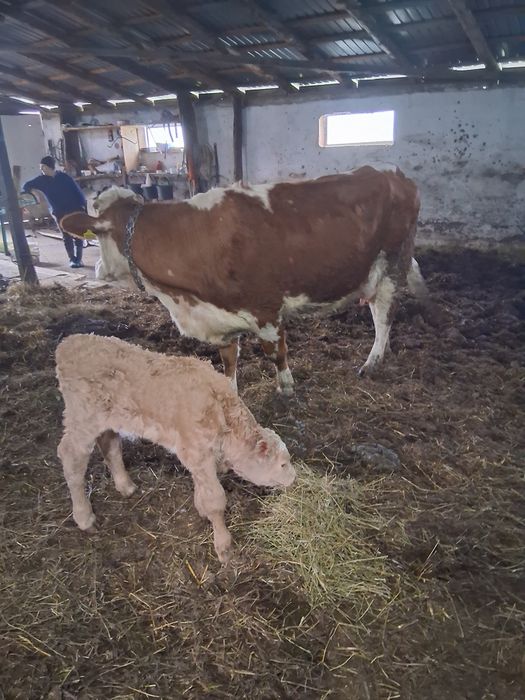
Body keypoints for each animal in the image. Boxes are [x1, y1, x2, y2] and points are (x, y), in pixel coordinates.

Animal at [56, 334, 296, 563]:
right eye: (283, 464)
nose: (294, 477)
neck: (221, 411)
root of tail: (68, 344)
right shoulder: (197, 453)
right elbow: (215, 500)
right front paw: (224, 547)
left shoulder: (196, 455)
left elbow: (202, 488)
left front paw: (201, 509)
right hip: (81, 419)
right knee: (71, 457)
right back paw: (84, 518)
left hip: (108, 420)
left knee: (110, 445)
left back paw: (125, 486)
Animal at [60, 166, 427, 395]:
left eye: (98, 235)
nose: (97, 270)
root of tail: (392, 174)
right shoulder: (220, 316)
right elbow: (228, 361)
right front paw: (231, 392)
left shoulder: (266, 308)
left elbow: (275, 353)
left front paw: (286, 388)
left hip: (393, 262)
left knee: (383, 315)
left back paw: (373, 361)